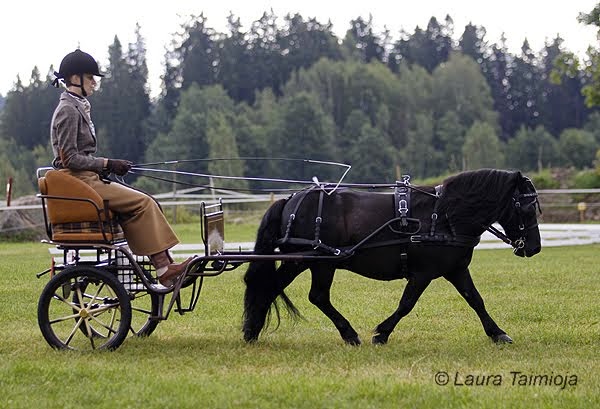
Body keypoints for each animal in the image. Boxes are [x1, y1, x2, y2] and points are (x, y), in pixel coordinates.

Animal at [241, 168, 540, 344]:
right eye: (525, 207)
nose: (534, 248)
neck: (444, 216)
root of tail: (289, 200)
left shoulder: (455, 270)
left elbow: (475, 300)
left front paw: (498, 333)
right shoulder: (423, 274)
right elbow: (407, 303)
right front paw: (382, 333)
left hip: (304, 262)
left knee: (277, 288)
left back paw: (252, 329)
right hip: (316, 262)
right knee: (314, 296)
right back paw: (347, 334)